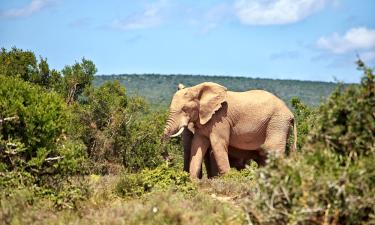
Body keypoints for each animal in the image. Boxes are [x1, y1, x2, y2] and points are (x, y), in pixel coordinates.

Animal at [163, 81, 298, 178]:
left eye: (184, 109)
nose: (170, 159)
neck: (199, 89)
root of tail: (291, 114)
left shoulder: (220, 119)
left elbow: (218, 144)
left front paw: (228, 179)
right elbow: (198, 144)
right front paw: (193, 181)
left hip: (278, 122)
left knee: (272, 148)